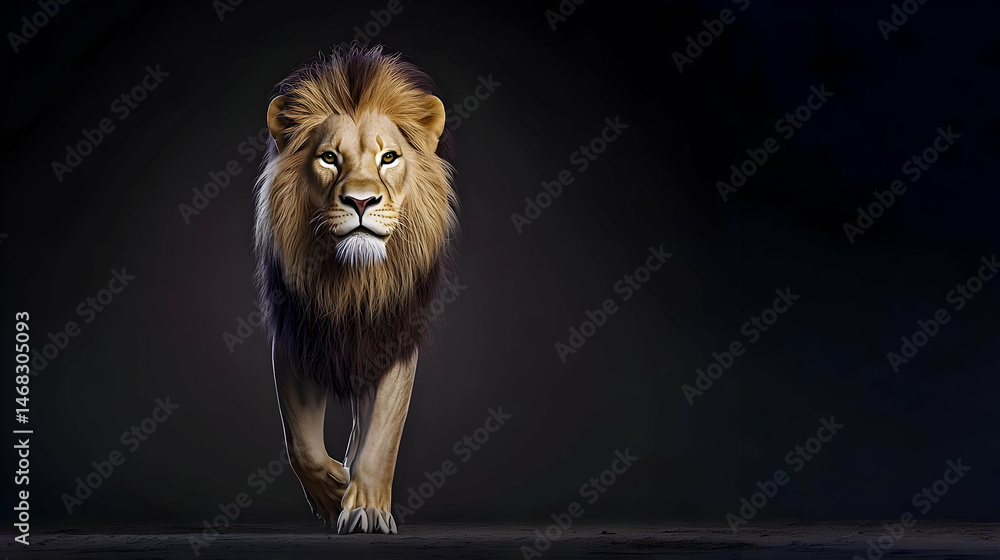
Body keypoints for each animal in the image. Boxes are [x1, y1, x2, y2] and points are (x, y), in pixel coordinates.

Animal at [252, 46, 456, 534]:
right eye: (328, 158)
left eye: (389, 158)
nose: (361, 201)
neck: (353, 282)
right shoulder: (297, 337)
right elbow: (302, 445)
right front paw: (332, 493)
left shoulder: (393, 337)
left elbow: (381, 435)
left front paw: (366, 505)